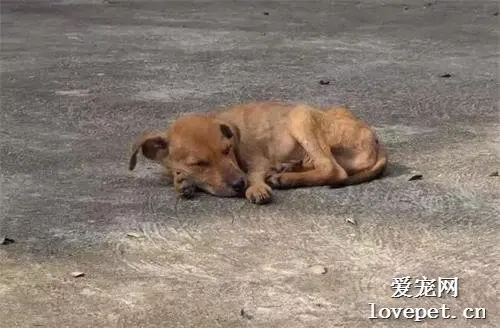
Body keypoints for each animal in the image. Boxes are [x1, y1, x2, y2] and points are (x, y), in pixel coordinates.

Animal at [129, 100, 386, 202]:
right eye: (199, 164)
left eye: (227, 151)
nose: (238, 185)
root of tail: (376, 139)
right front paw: (182, 181)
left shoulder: (256, 162)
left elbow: (253, 173)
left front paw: (255, 188)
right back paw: (286, 169)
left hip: (300, 114)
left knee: (333, 169)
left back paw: (284, 178)